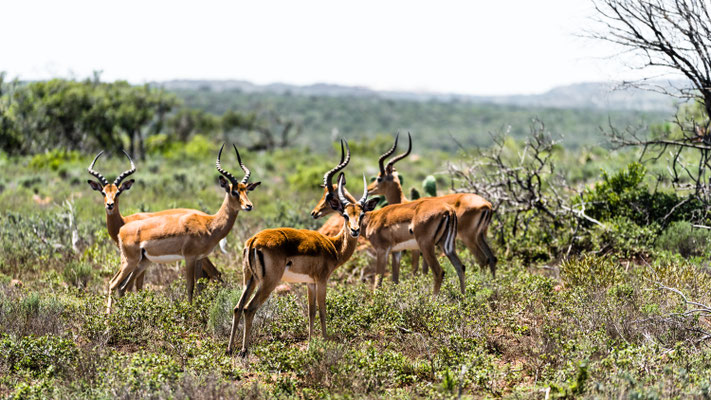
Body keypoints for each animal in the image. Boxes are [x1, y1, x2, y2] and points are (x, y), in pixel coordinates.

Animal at [87, 151, 222, 292]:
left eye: (118, 192)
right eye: (103, 192)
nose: (110, 205)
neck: (124, 221)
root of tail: (206, 217)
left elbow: (136, 285)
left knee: (215, 274)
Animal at [107, 145, 260, 313]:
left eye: (246, 190)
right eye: (234, 191)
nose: (249, 206)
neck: (209, 224)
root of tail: (121, 230)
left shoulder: (199, 258)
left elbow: (199, 286)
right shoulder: (189, 258)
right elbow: (190, 286)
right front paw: (190, 312)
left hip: (142, 263)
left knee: (122, 287)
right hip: (130, 262)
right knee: (113, 284)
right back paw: (109, 318)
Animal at [227, 171, 379, 357]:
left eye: (361, 214)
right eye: (345, 215)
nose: (355, 231)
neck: (333, 246)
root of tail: (254, 240)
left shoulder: (309, 283)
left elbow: (311, 311)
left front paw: (310, 344)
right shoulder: (322, 281)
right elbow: (322, 309)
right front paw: (325, 341)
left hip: (250, 279)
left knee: (238, 307)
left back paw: (229, 348)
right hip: (269, 282)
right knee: (249, 308)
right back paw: (244, 350)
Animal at [367, 133, 497, 277]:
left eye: (379, 178)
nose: (368, 189)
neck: (404, 203)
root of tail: (487, 205)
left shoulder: (417, 247)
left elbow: (415, 269)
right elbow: (424, 269)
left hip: (468, 238)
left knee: (482, 260)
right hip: (481, 236)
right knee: (492, 258)